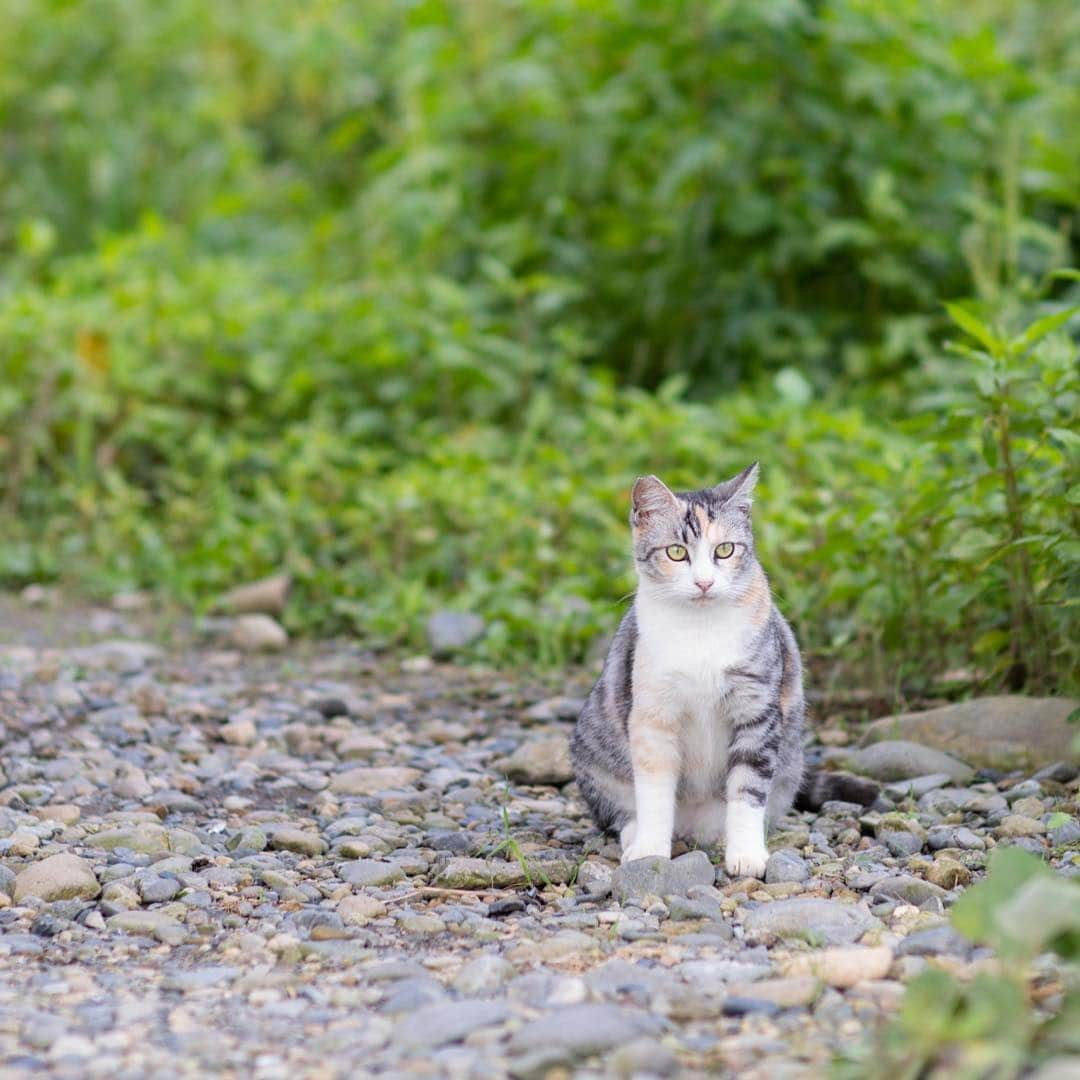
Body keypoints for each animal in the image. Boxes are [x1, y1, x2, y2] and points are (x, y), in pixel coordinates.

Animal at [570, 464, 872, 876]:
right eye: (676, 552)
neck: (701, 631)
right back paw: (633, 834)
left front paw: (746, 853)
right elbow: (654, 790)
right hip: (593, 752)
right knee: (615, 811)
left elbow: (747, 789)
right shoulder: (653, 714)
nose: (704, 581)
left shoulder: (756, 707)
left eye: (725, 550)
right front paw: (649, 850)